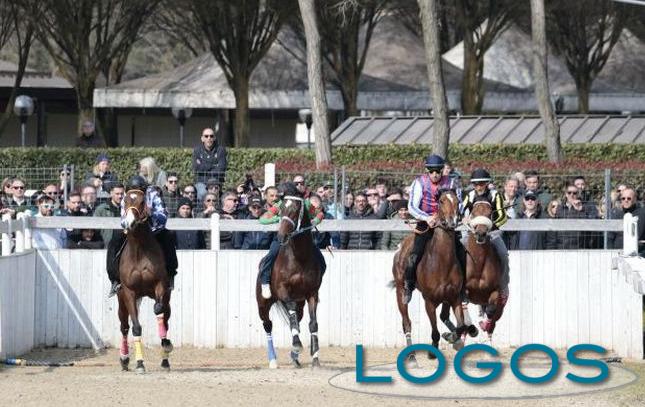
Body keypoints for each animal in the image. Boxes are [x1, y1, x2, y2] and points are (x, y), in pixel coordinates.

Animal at [115, 190, 171, 374]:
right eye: (124, 201)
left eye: (142, 202)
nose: (129, 222)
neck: (139, 250)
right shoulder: (129, 292)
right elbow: (136, 327)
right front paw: (139, 363)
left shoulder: (160, 285)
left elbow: (158, 310)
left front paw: (166, 344)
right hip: (122, 299)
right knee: (125, 326)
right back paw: (124, 358)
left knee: (165, 318)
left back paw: (165, 358)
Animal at [256, 193, 322, 368]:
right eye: (280, 209)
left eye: (296, 210)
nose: (281, 236)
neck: (299, 257)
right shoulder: (283, 290)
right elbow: (291, 315)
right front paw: (297, 344)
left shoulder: (312, 293)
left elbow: (313, 323)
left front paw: (315, 357)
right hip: (263, 303)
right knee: (268, 325)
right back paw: (273, 360)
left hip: (300, 302)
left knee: (297, 319)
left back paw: (295, 358)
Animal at [390, 190, 466, 364]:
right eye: (441, 201)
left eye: (457, 200)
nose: (452, 222)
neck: (442, 261)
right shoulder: (429, 302)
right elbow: (435, 331)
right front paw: (432, 352)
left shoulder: (455, 298)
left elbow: (460, 326)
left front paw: (453, 337)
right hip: (400, 291)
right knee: (407, 322)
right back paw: (411, 356)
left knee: (444, 317)